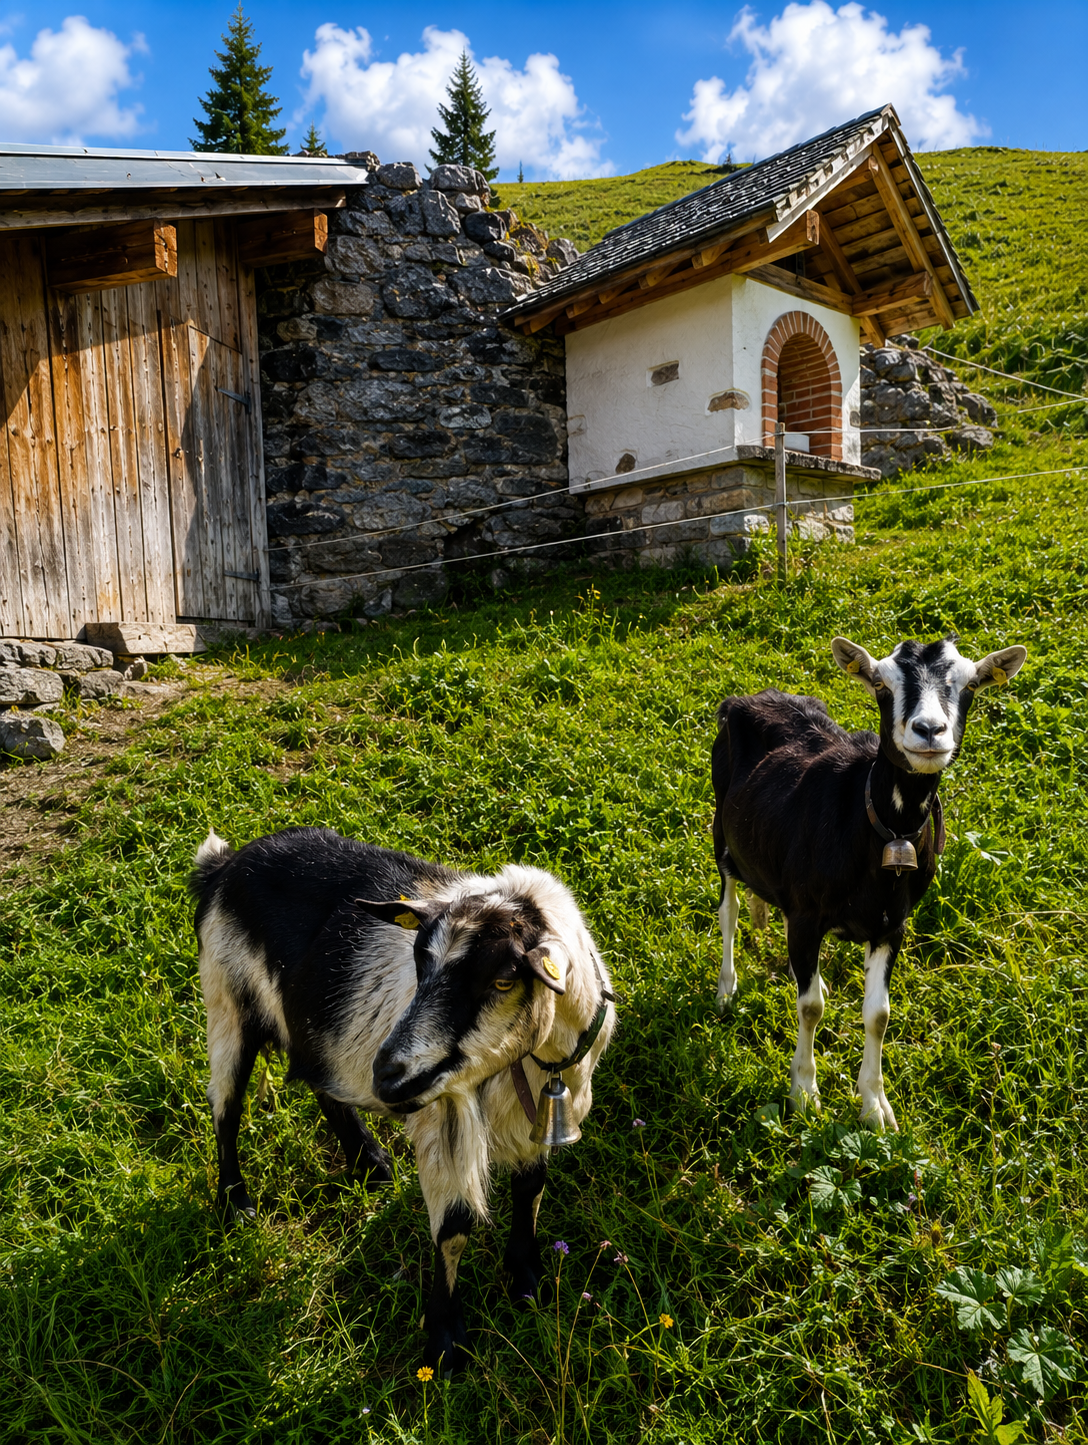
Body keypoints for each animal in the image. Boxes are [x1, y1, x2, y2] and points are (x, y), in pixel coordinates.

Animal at [191, 826, 614, 1370]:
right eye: (420, 963)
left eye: (503, 979)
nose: (388, 1074)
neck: (531, 1063)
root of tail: (223, 865)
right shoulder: (443, 1119)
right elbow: (455, 1226)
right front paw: (446, 1341)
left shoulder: (541, 1114)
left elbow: (531, 1188)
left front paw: (526, 1282)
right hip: (225, 1000)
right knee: (226, 1104)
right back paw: (237, 1202)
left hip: (308, 1027)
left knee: (319, 1082)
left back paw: (370, 1163)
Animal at [713, 636, 1026, 1130]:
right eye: (881, 684)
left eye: (971, 684)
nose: (930, 731)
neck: (883, 828)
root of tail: (746, 699)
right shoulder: (808, 914)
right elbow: (810, 1008)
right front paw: (804, 1093)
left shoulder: (891, 925)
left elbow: (878, 1014)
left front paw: (875, 1107)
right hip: (720, 832)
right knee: (730, 909)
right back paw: (727, 988)